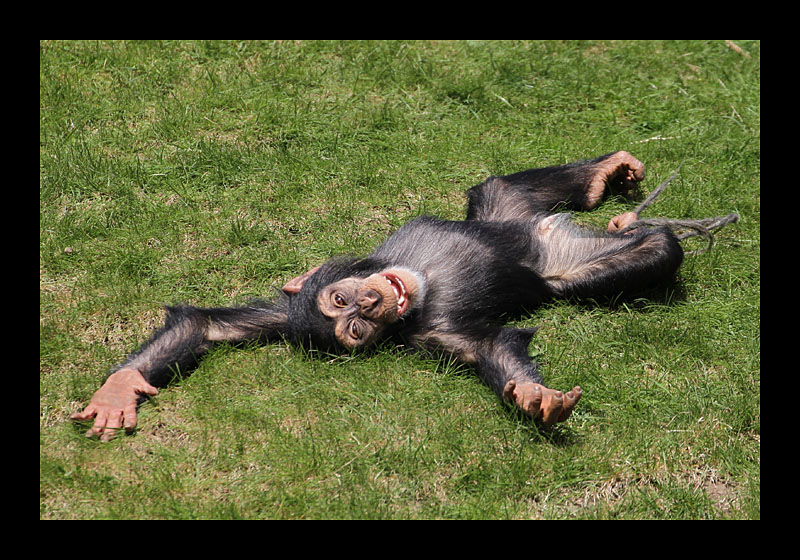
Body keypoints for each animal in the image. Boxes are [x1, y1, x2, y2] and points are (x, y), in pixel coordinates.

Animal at [72, 151, 684, 440]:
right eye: (355, 331)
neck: (419, 283)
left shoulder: (285, 310)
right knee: (657, 248)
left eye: (344, 303)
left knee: (498, 186)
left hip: (503, 210)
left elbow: (210, 324)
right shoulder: (440, 335)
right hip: (563, 268)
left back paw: (605, 177)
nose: (367, 306)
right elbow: (489, 346)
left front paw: (117, 389)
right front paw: (532, 396)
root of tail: (545, 234)